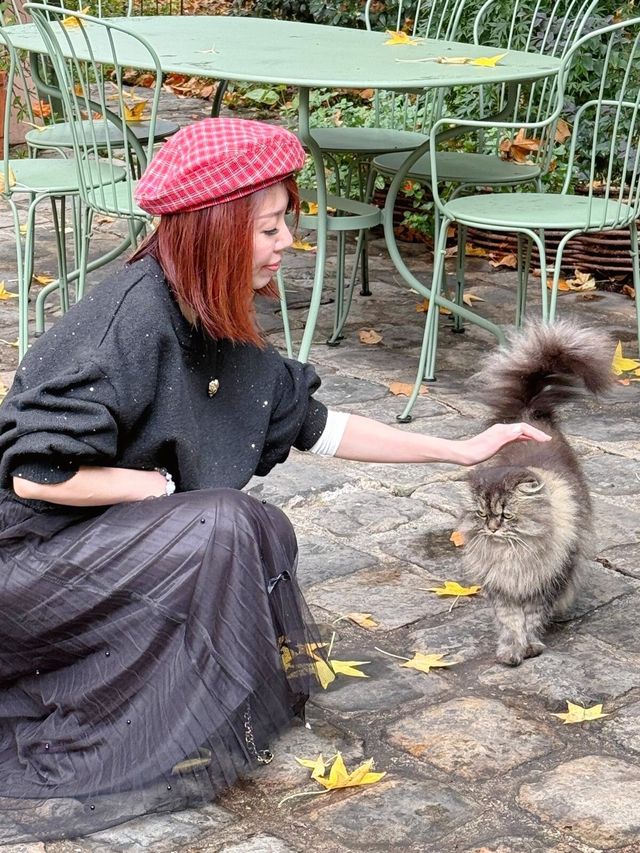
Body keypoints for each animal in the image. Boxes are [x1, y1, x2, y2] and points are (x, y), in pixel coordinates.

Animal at [458, 322, 612, 664]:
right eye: (482, 513)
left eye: (506, 515)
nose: (492, 528)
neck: (513, 555)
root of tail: (529, 412)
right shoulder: (503, 589)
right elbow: (509, 620)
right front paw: (511, 651)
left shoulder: (545, 584)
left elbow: (530, 618)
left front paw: (529, 647)